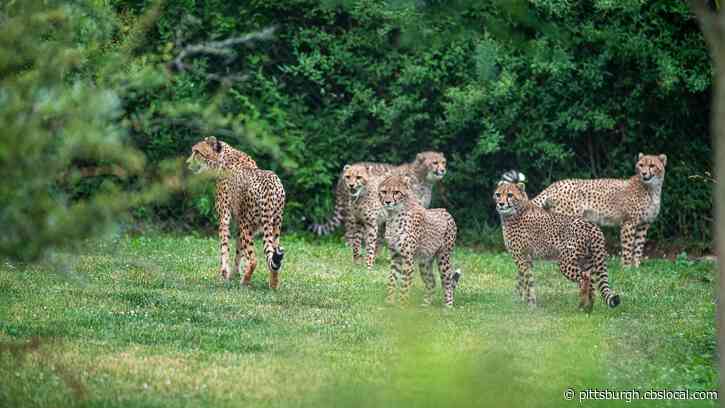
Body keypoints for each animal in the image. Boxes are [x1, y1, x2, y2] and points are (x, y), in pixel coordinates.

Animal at [187, 136, 285, 288]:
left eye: (197, 152)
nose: (187, 163)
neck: (222, 158)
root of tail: (271, 183)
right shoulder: (240, 223)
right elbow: (239, 250)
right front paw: (235, 273)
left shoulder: (225, 218)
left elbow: (224, 247)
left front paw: (224, 274)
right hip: (275, 226)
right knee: (274, 256)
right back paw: (273, 284)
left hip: (248, 224)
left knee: (254, 259)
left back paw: (245, 281)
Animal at [309, 151, 447, 236]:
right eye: (435, 162)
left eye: (443, 162)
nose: (443, 170)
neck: (422, 177)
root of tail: (344, 172)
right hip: (351, 212)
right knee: (350, 233)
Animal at [379, 174, 460, 307]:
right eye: (384, 192)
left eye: (396, 192)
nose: (388, 201)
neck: (394, 215)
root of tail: (445, 211)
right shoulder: (395, 256)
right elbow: (392, 279)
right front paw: (389, 302)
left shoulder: (408, 259)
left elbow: (404, 285)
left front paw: (401, 305)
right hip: (424, 262)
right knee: (431, 281)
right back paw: (426, 304)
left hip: (443, 256)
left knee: (447, 280)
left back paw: (448, 305)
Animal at [495, 170, 620, 312]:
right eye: (498, 194)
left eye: (510, 195)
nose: (501, 203)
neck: (517, 210)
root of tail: (592, 225)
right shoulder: (527, 258)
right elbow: (525, 280)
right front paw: (520, 301)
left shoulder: (520, 257)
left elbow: (526, 281)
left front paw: (529, 304)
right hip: (586, 260)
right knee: (592, 284)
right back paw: (589, 308)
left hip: (565, 261)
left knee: (584, 279)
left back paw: (581, 306)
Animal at [529, 153, 667, 268]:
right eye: (641, 165)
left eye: (652, 165)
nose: (643, 173)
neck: (652, 188)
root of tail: (556, 183)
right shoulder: (629, 222)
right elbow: (628, 247)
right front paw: (626, 268)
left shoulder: (644, 224)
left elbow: (638, 247)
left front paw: (636, 267)